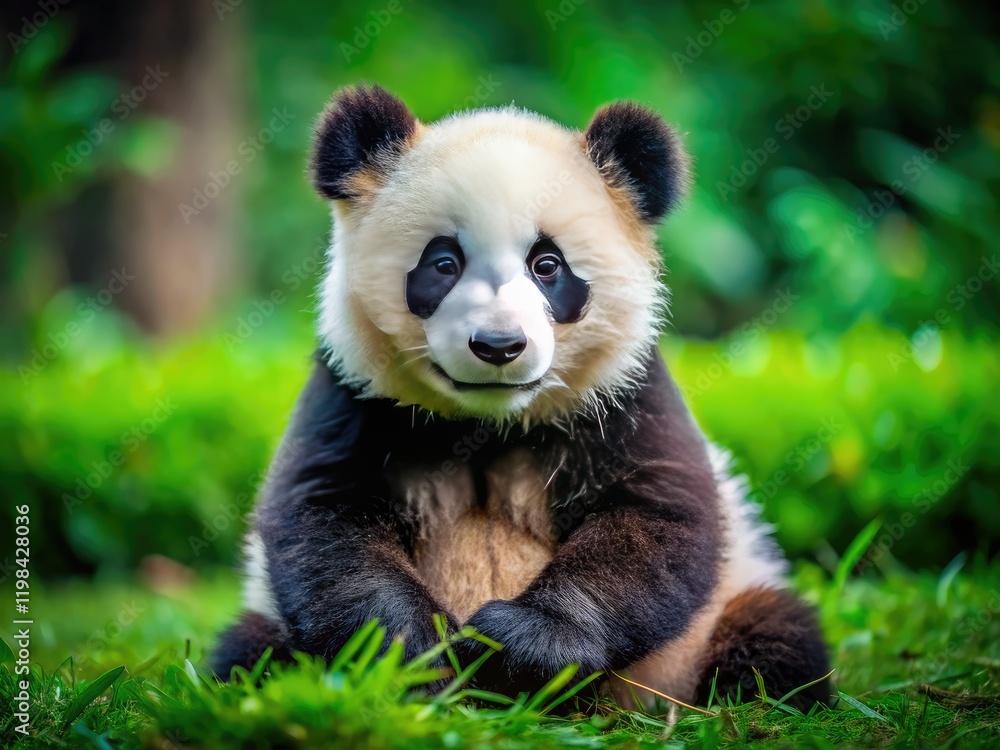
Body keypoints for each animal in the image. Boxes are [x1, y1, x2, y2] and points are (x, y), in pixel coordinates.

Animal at [213, 85, 832, 711]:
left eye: (547, 265)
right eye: (443, 263)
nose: (498, 345)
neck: (490, 423)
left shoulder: (625, 394)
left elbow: (656, 519)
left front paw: (518, 645)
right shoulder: (355, 394)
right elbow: (326, 523)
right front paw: (418, 650)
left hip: (715, 620)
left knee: (775, 639)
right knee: (249, 654)